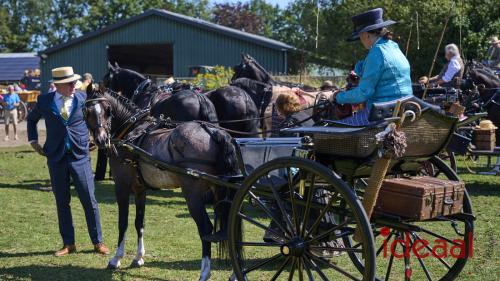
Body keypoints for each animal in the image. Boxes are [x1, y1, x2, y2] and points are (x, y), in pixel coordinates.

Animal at [82, 84, 238, 278]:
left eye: (108, 111)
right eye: (87, 111)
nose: (102, 140)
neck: (131, 132)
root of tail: (213, 132)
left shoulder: (122, 186)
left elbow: (123, 223)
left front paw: (116, 258)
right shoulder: (140, 188)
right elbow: (139, 222)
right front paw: (138, 257)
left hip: (193, 196)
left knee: (206, 229)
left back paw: (205, 273)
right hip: (220, 190)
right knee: (229, 226)